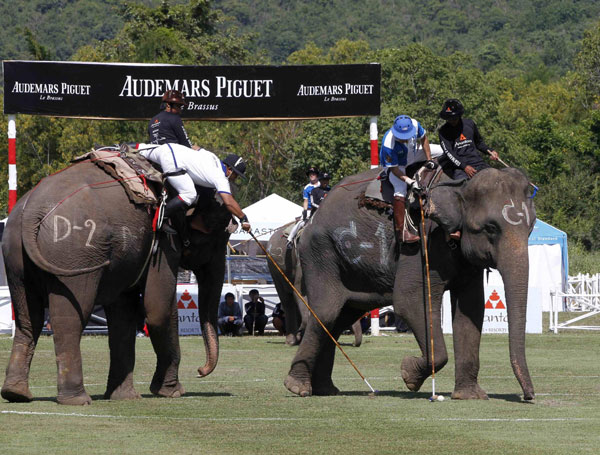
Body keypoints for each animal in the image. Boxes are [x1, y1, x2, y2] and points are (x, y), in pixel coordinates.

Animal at [0, 159, 232, 404]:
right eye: (220, 233)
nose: (200, 371)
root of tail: (31, 211)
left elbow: (123, 315)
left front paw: (124, 396)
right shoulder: (164, 243)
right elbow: (158, 308)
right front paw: (172, 391)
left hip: (15, 257)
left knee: (28, 319)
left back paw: (16, 393)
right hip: (73, 254)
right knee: (70, 319)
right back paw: (77, 399)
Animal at [284, 166, 536, 400]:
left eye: (531, 228)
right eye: (490, 228)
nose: (529, 396)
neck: (461, 184)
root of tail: (311, 219)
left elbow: (471, 310)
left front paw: (470, 396)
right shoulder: (423, 243)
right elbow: (410, 300)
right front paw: (408, 375)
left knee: (339, 319)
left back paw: (325, 390)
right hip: (320, 253)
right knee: (326, 313)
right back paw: (298, 387)